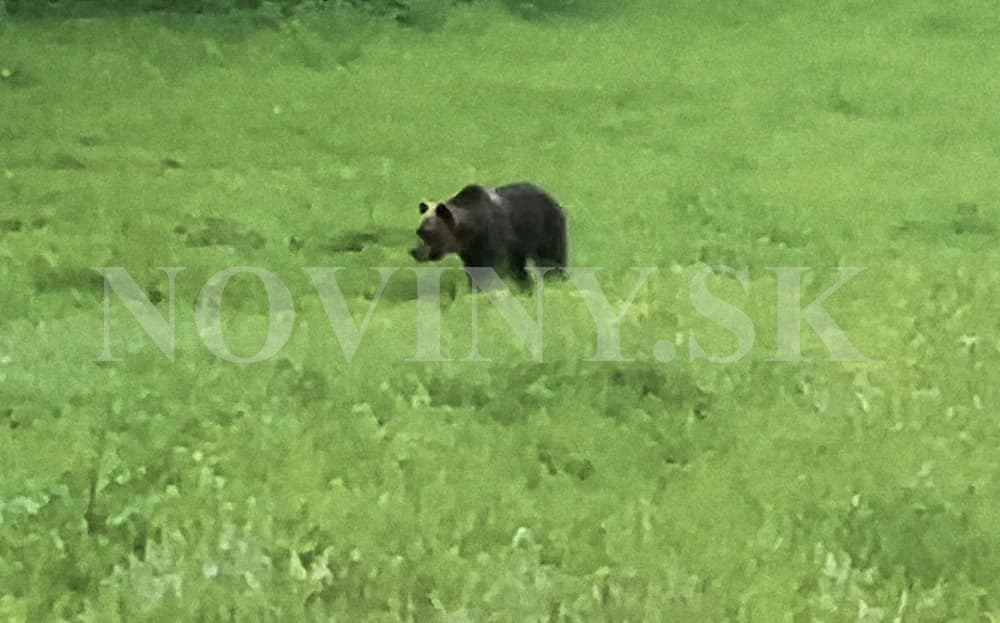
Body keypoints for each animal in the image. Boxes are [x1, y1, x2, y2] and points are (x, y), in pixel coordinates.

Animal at [409, 182, 568, 289]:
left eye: (428, 232)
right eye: (418, 231)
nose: (415, 252)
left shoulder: (494, 239)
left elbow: (496, 269)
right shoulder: (471, 252)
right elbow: (476, 272)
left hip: (545, 229)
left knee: (551, 260)